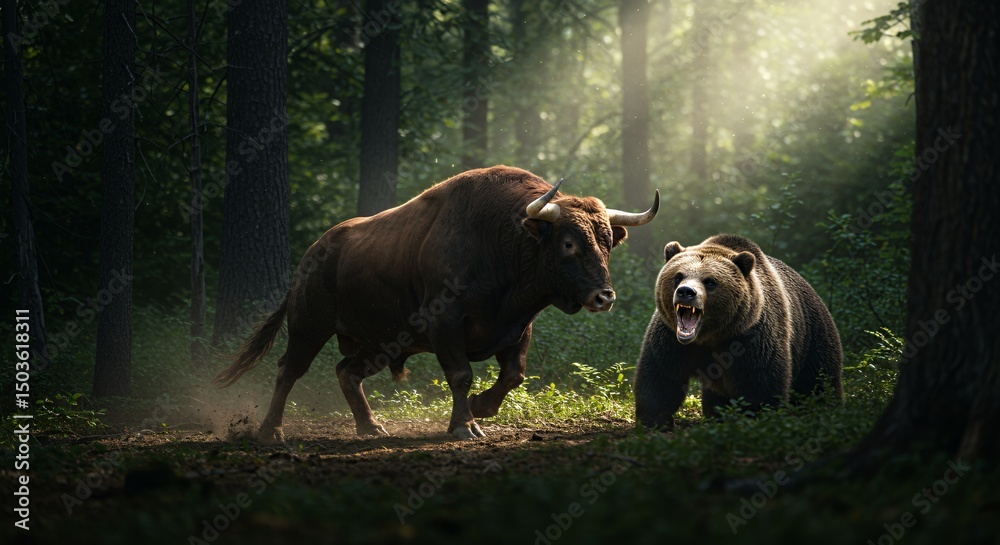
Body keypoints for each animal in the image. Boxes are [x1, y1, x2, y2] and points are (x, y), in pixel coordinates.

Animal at [214, 165, 659, 441]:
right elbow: (461, 374)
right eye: (568, 243)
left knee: (346, 372)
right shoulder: (445, 322)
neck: (504, 239)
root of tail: (312, 256)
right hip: (309, 327)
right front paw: (465, 426)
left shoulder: (518, 327)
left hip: (379, 342)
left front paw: (479, 409)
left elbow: (513, 375)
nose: (604, 296)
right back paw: (270, 431)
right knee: (289, 370)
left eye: (607, 241)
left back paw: (371, 427)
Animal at [633, 233, 842, 429]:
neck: (711, 335)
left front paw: (757, 417)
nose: (686, 292)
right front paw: (654, 420)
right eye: (678, 276)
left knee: (819, 382)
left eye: (709, 281)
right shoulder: (671, 338)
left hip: (814, 337)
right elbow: (661, 375)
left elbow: (762, 384)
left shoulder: (753, 336)